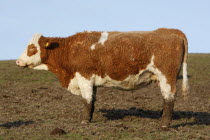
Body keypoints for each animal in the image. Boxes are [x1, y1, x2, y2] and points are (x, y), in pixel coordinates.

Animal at [16, 28, 189, 129]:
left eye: (32, 48)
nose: (17, 61)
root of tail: (172, 31)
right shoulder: (91, 81)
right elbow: (92, 100)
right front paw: (90, 118)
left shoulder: (84, 77)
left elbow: (86, 100)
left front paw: (85, 121)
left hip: (166, 76)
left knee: (169, 98)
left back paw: (164, 124)